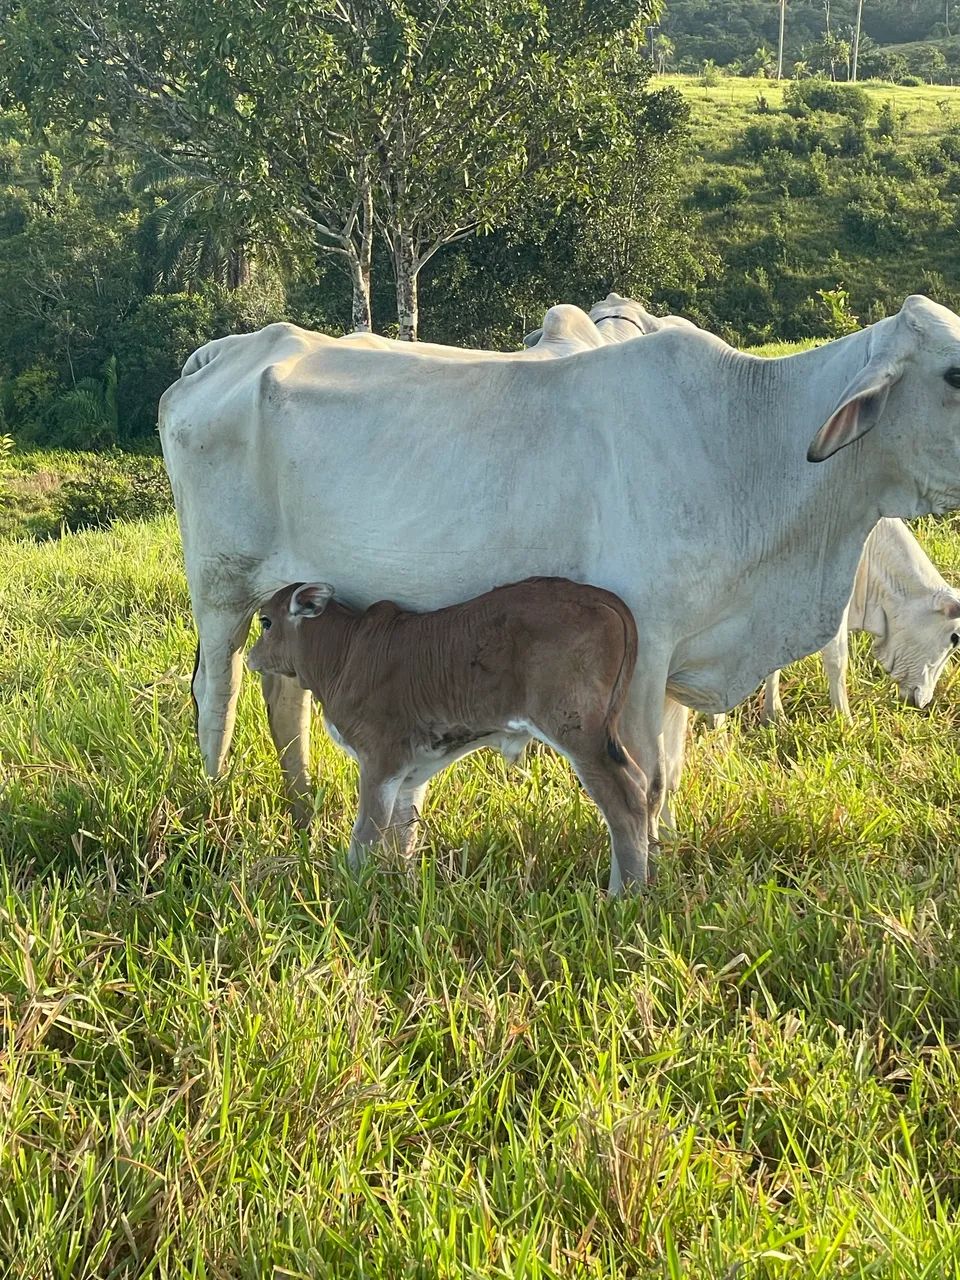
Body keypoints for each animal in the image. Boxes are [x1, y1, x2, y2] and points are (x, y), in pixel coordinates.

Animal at [245, 577, 646, 885]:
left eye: (265, 621)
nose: (250, 657)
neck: (344, 654)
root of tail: (598, 597)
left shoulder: (380, 758)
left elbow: (366, 834)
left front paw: (352, 886)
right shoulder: (409, 769)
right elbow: (402, 831)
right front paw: (400, 885)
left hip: (579, 734)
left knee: (626, 803)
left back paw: (624, 893)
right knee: (642, 784)